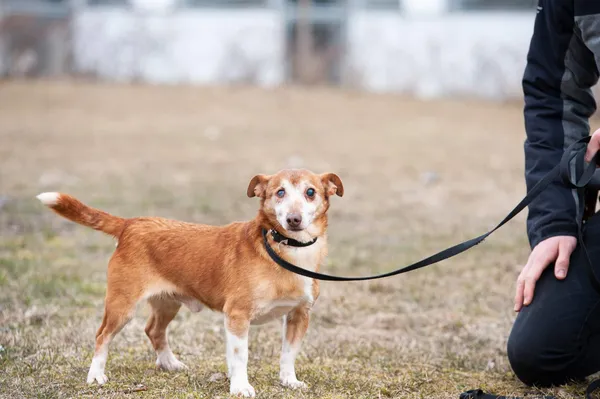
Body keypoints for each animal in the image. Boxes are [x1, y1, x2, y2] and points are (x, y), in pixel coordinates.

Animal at [37, 168, 344, 396]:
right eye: (280, 192)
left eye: (310, 192)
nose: (294, 219)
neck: (284, 249)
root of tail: (131, 224)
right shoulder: (237, 315)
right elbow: (240, 355)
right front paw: (240, 387)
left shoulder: (299, 315)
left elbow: (288, 354)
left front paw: (289, 381)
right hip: (122, 305)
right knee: (102, 336)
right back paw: (96, 376)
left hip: (167, 303)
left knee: (153, 330)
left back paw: (169, 363)